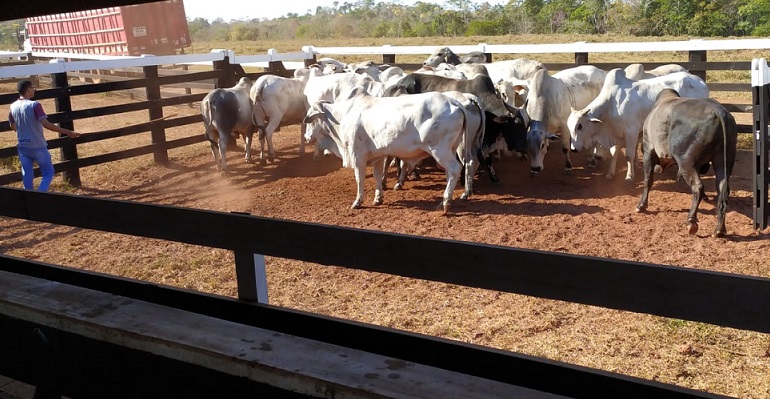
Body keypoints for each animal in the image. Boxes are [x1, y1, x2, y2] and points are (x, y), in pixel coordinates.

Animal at [302, 86, 474, 214]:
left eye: (311, 118)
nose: (306, 137)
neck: (342, 116)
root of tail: (454, 102)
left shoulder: (357, 156)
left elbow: (359, 178)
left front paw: (358, 201)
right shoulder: (378, 156)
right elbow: (378, 176)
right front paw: (378, 198)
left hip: (440, 150)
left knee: (454, 168)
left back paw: (446, 202)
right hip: (451, 148)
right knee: (450, 172)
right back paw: (445, 200)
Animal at [632, 90, 736, 238]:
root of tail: (718, 111)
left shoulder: (648, 151)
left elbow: (648, 180)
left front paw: (641, 205)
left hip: (686, 161)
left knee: (698, 187)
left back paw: (691, 222)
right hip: (724, 160)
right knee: (723, 189)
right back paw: (719, 229)